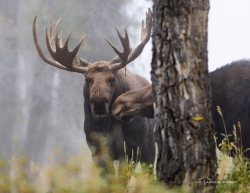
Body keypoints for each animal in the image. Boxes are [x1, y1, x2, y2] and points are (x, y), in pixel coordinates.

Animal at [32, 9, 155, 170]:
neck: (108, 127)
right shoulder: (96, 150)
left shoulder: (131, 148)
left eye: (112, 79)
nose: (99, 102)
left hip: (149, 144)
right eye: (87, 79)